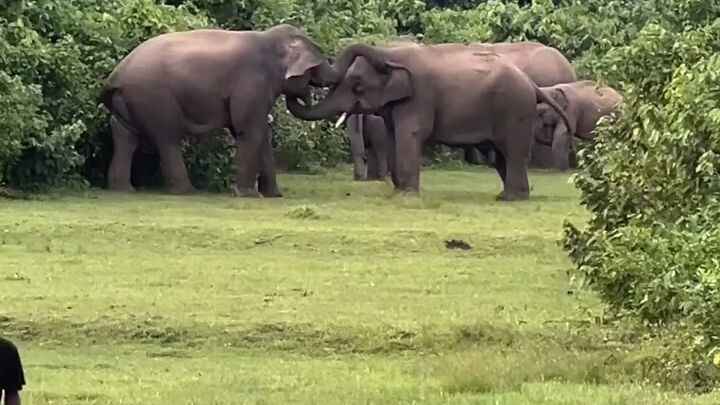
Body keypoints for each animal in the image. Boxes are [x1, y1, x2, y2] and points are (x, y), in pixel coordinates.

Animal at [99, 24, 334, 197]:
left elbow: (260, 134)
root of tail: (115, 76)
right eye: (318, 63)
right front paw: (248, 196)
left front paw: (274, 196)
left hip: (129, 101)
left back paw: (122, 190)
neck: (270, 38)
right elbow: (248, 131)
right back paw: (186, 192)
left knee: (125, 136)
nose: (304, 95)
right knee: (167, 137)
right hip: (153, 96)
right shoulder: (251, 81)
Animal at [286, 43, 573, 200]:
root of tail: (533, 85)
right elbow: (393, 137)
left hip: (515, 109)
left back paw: (509, 199)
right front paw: (399, 192)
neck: (394, 54)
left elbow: (410, 135)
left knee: (512, 152)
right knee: (503, 157)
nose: (298, 87)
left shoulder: (420, 97)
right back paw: (511, 196)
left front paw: (407, 196)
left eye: (357, 86)